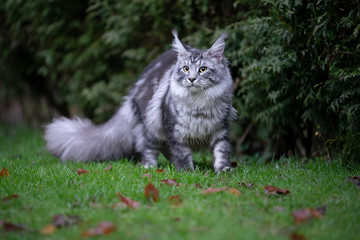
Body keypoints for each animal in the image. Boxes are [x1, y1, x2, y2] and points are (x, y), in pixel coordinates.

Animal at [44, 30, 236, 172]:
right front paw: (188, 172)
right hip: (150, 125)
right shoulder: (174, 130)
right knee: (150, 149)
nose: (191, 79)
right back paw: (150, 167)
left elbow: (222, 151)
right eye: (186, 68)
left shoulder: (220, 129)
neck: (198, 105)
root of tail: (133, 93)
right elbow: (182, 154)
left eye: (203, 69)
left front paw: (223, 171)